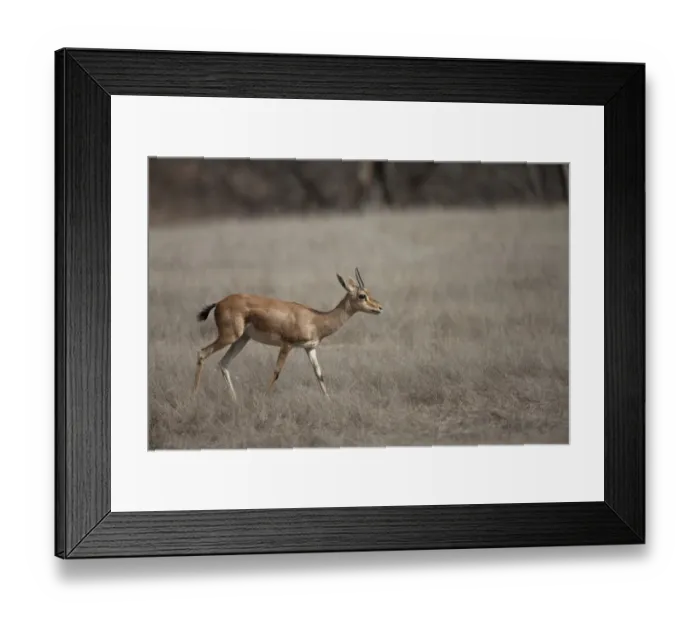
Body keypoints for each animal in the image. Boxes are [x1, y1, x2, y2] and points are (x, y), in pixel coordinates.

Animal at [193, 268, 383, 401]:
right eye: (362, 295)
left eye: (369, 292)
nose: (379, 308)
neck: (315, 319)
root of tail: (219, 303)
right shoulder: (287, 344)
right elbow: (277, 371)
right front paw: (265, 398)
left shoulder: (310, 349)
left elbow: (319, 374)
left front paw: (328, 401)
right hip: (229, 337)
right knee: (202, 353)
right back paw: (193, 395)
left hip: (242, 339)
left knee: (223, 363)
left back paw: (234, 399)